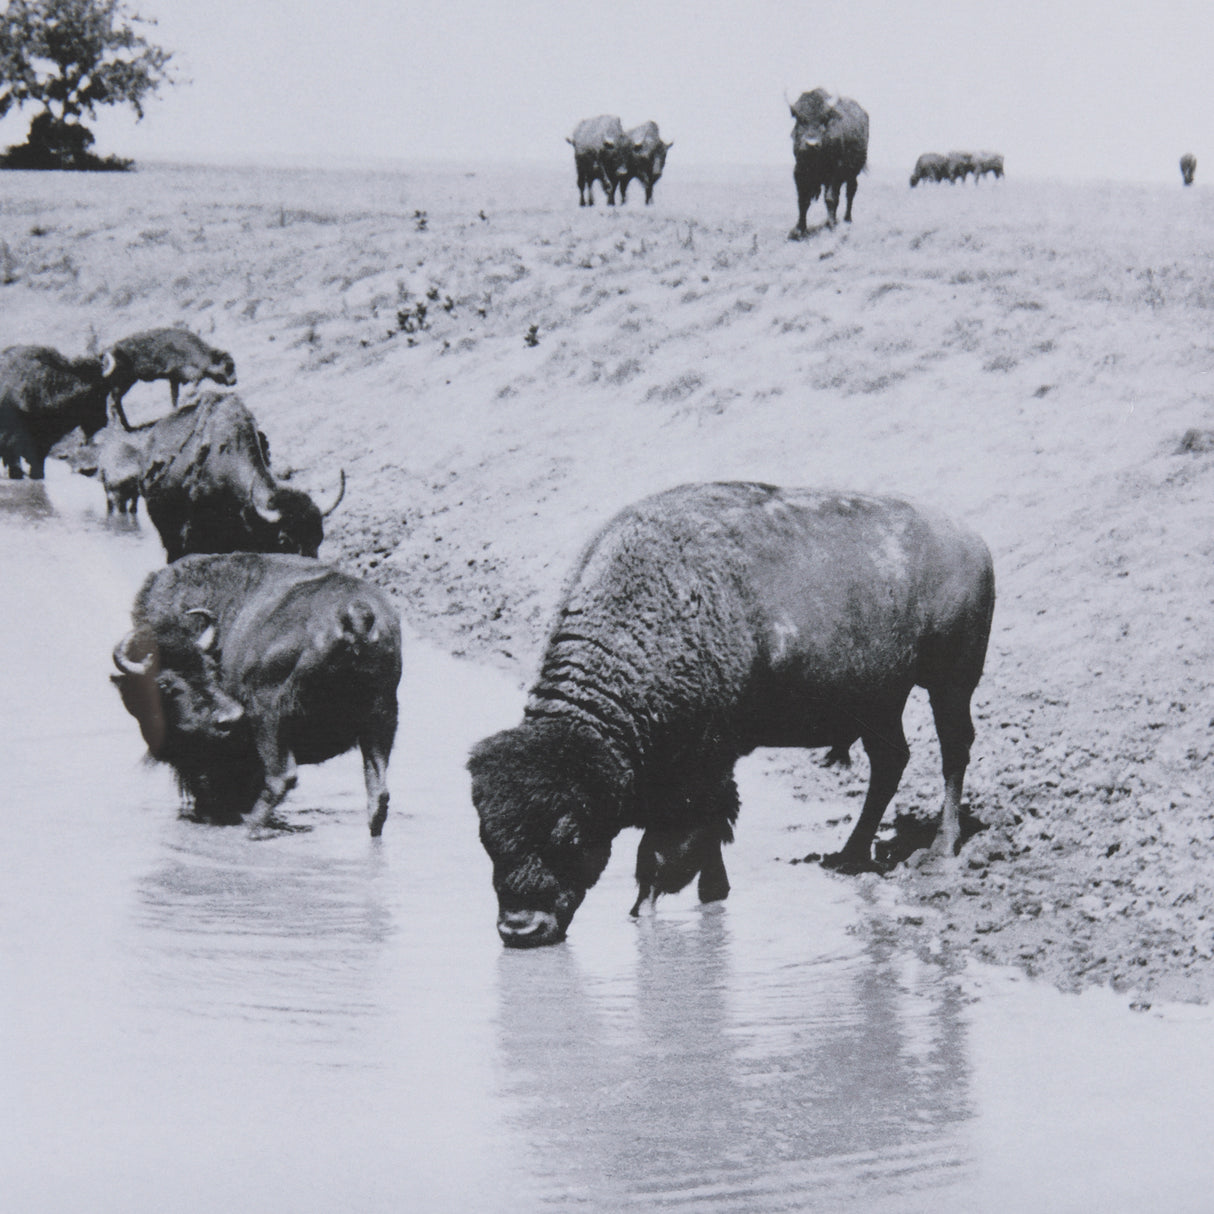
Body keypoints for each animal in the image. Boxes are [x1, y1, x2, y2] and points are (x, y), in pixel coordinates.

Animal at [103, 327, 236, 427]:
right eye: (228, 367)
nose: (234, 381)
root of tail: (111, 351)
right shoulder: (183, 371)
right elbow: (197, 377)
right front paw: (189, 394)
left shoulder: (174, 378)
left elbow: (174, 395)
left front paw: (175, 410)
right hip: (123, 382)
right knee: (113, 400)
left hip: (127, 382)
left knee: (115, 400)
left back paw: (125, 425)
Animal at [111, 553, 402, 836]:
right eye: (163, 684)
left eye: (211, 668)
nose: (229, 717)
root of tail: (355, 615)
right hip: (382, 718)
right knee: (378, 794)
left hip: (268, 716)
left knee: (281, 777)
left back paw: (249, 829)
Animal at [469, 483, 994, 948]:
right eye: (487, 837)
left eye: (570, 833)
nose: (520, 929)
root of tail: (972, 540)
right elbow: (706, 844)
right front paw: (710, 894)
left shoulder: (701, 773)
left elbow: (663, 856)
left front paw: (645, 916)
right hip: (880, 703)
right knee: (891, 760)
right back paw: (848, 855)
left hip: (950, 683)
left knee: (953, 751)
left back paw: (940, 849)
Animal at [789, 89, 869, 237]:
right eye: (799, 118)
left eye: (824, 119)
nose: (811, 144)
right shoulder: (799, 172)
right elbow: (803, 200)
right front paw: (799, 230)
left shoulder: (835, 174)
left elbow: (831, 198)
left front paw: (832, 226)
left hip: (853, 174)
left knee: (850, 192)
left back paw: (846, 219)